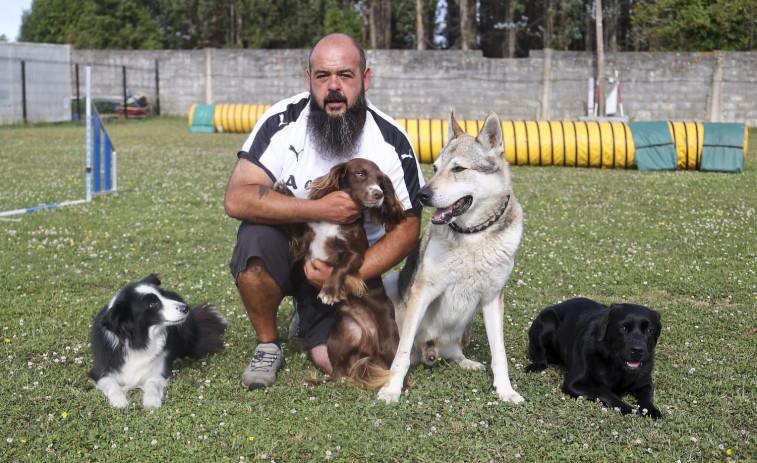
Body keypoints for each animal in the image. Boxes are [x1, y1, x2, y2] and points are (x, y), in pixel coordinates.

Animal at [524, 300, 660, 418]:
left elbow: (647, 397)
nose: (638, 350)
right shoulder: (573, 384)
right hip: (547, 321)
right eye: (623, 328)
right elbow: (605, 392)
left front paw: (651, 410)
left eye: (649, 330)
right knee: (541, 358)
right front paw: (629, 409)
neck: (616, 367)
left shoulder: (645, 383)